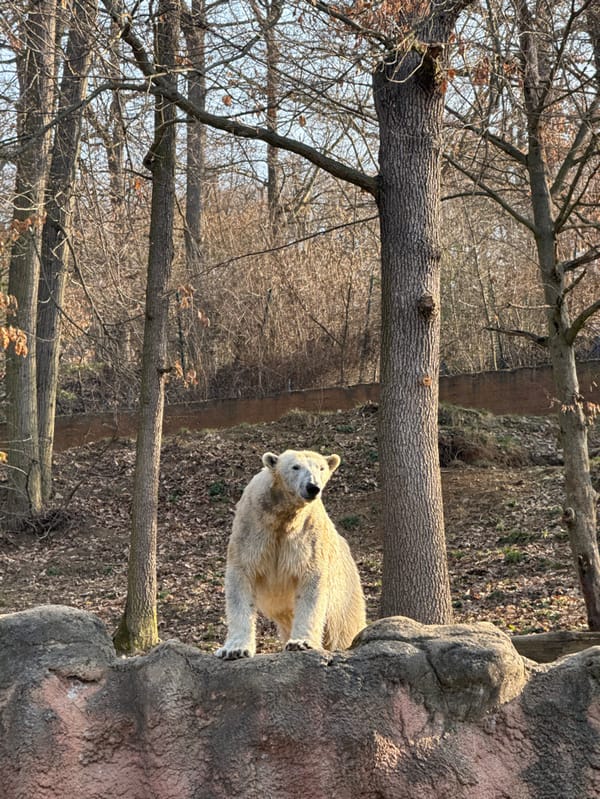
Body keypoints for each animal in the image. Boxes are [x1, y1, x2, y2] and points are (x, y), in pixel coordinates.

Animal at [215, 449, 366, 659]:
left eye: (321, 468)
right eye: (295, 467)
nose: (313, 487)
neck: (282, 516)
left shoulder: (307, 535)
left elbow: (311, 583)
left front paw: (301, 643)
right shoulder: (252, 528)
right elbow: (241, 578)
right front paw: (235, 649)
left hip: (344, 592)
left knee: (343, 628)